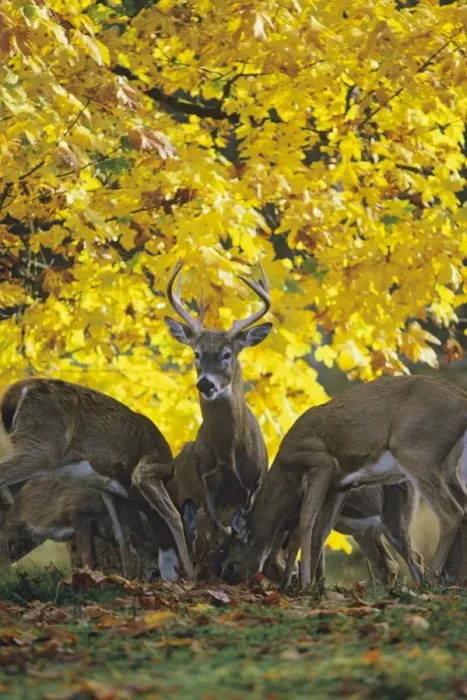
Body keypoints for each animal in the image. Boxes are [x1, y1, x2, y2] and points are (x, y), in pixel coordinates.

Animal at [0, 377, 193, 580]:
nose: (157, 575)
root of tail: (19, 389)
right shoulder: (148, 470)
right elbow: (173, 516)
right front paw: (191, 575)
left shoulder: (110, 491)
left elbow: (121, 534)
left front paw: (127, 578)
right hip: (42, 447)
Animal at [164, 259, 272, 548]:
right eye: (196, 353)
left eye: (226, 354)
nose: (205, 384)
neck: (228, 454)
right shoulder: (206, 479)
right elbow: (215, 527)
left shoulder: (255, 483)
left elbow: (239, 524)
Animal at [215, 375, 467, 589]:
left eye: (230, 564)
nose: (228, 579)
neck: (286, 474)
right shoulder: (340, 486)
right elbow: (320, 533)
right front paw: (311, 586)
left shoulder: (321, 463)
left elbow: (305, 523)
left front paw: (303, 584)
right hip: (448, 468)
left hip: (415, 452)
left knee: (451, 514)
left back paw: (432, 581)